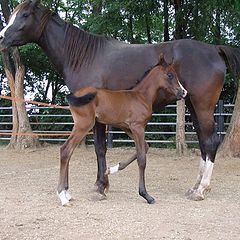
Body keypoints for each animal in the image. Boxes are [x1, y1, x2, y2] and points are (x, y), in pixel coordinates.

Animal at [57, 55, 187, 205]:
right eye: (170, 75)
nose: (183, 92)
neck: (141, 96)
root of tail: (74, 94)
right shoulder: (138, 127)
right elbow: (142, 159)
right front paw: (146, 195)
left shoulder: (128, 127)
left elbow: (145, 147)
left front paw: (111, 170)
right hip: (84, 125)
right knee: (66, 150)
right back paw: (62, 196)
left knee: (68, 151)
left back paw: (67, 193)